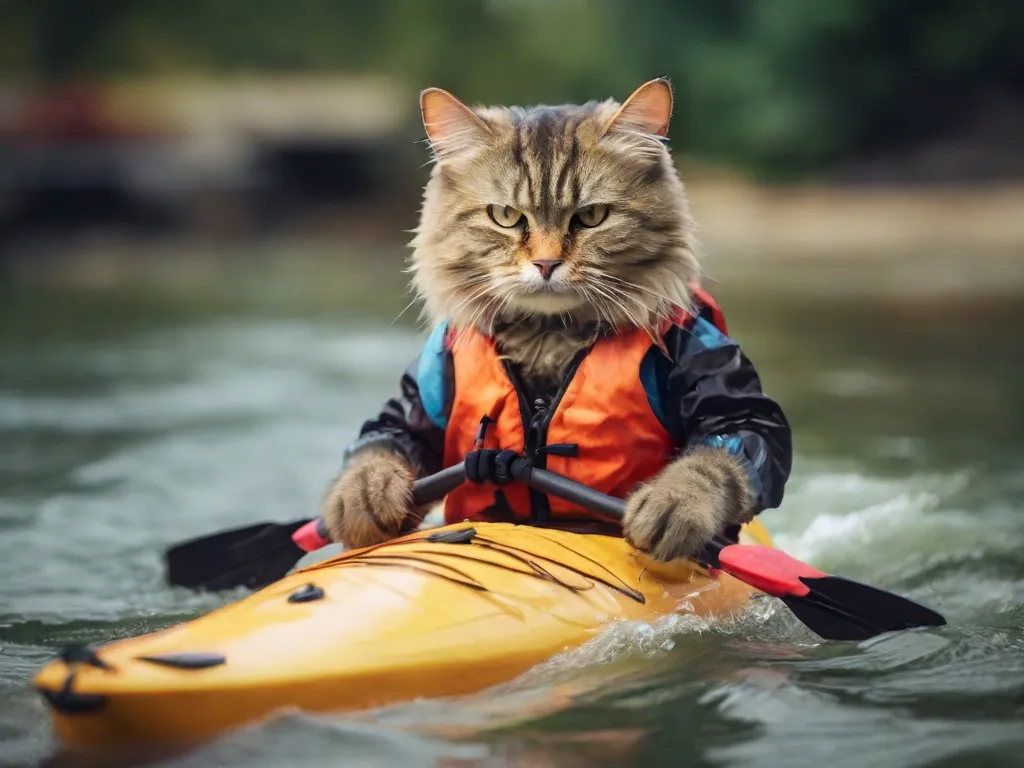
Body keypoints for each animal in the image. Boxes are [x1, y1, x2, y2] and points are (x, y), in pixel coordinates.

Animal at [321, 78, 790, 561]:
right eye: (506, 216)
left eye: (592, 217)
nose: (546, 264)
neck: (548, 337)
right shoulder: (425, 383)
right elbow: (385, 440)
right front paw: (362, 494)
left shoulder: (710, 367)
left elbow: (724, 451)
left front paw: (675, 503)